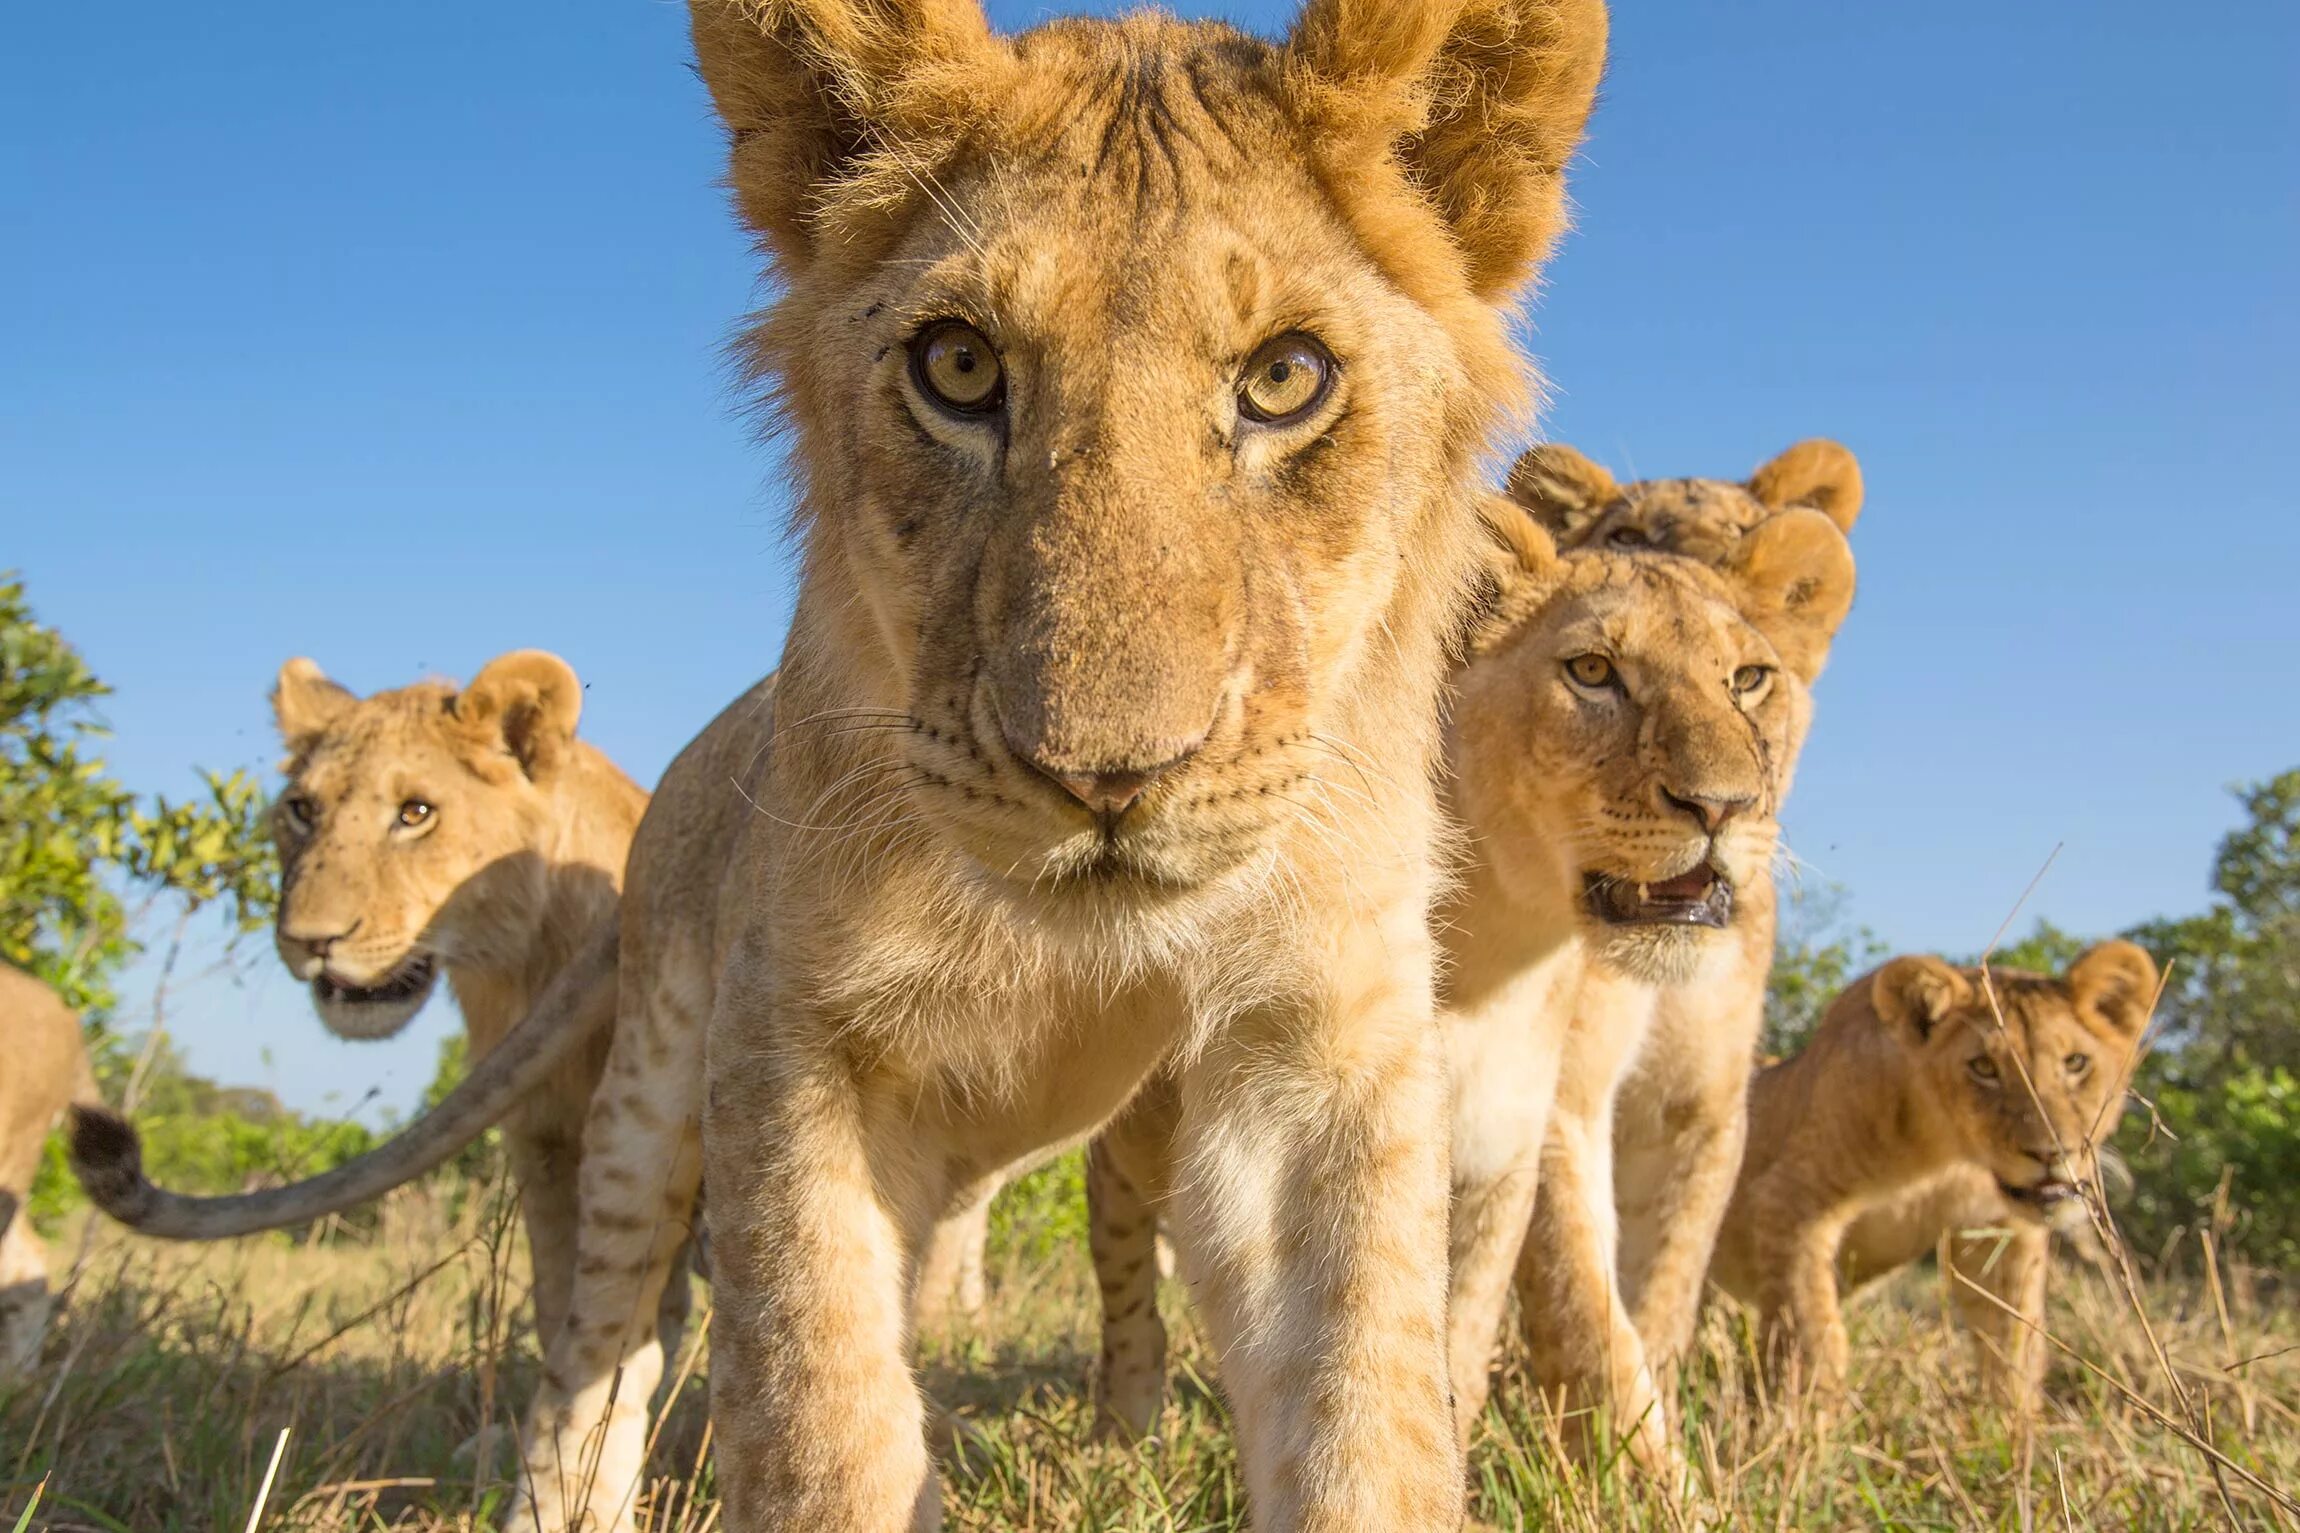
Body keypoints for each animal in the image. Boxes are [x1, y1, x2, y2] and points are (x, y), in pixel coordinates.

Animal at [1711, 946, 2152, 1415]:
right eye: (1984, 1067)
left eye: (2075, 1063)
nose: (2051, 1153)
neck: (1945, 1155)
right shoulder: (1789, 1202)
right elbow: (1813, 1336)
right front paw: (1806, 1424)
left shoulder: (1999, 1231)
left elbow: (2013, 1346)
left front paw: (2013, 1428)